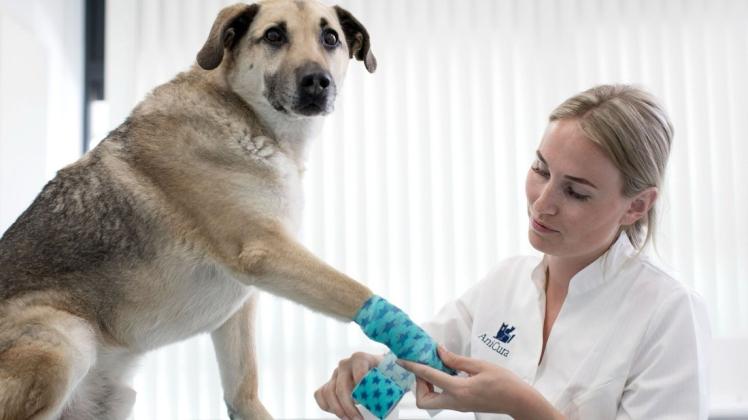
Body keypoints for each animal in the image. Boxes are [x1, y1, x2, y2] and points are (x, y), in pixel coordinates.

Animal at [0, 1, 376, 418]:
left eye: (331, 38)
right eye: (274, 35)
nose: (317, 82)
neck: (247, 116)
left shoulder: (240, 308)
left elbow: (243, 388)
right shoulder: (263, 251)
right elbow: (355, 291)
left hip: (117, 395)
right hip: (66, 341)